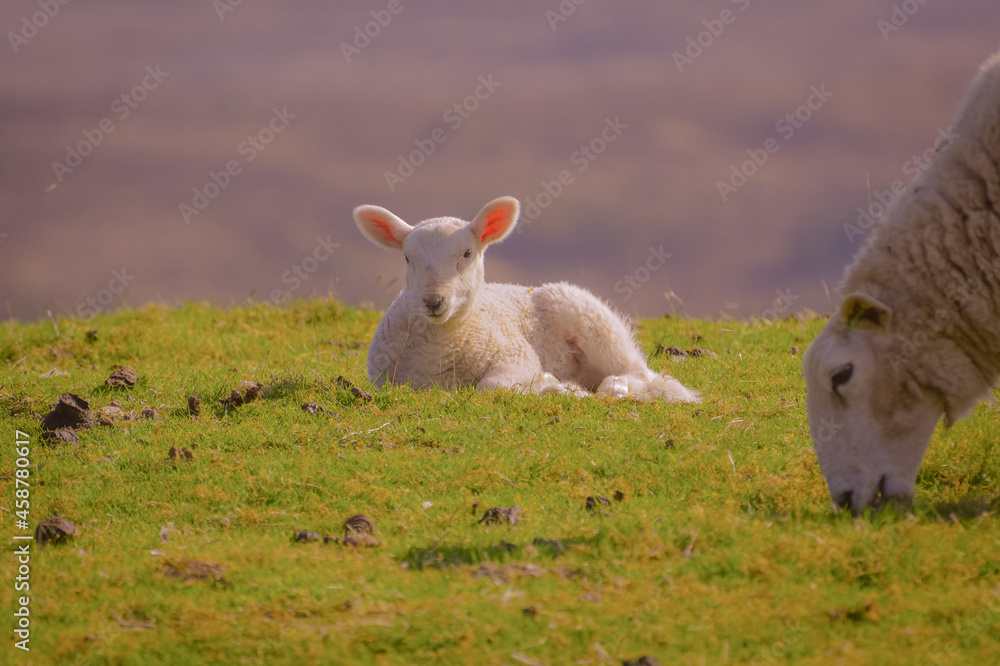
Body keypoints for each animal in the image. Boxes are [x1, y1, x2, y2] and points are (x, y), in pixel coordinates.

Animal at [353, 195, 699, 402]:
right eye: (407, 258)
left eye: (467, 253)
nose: (433, 301)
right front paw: (557, 386)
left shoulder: (516, 358)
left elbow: (489, 385)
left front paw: (553, 385)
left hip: (597, 325)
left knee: (639, 373)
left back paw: (614, 388)